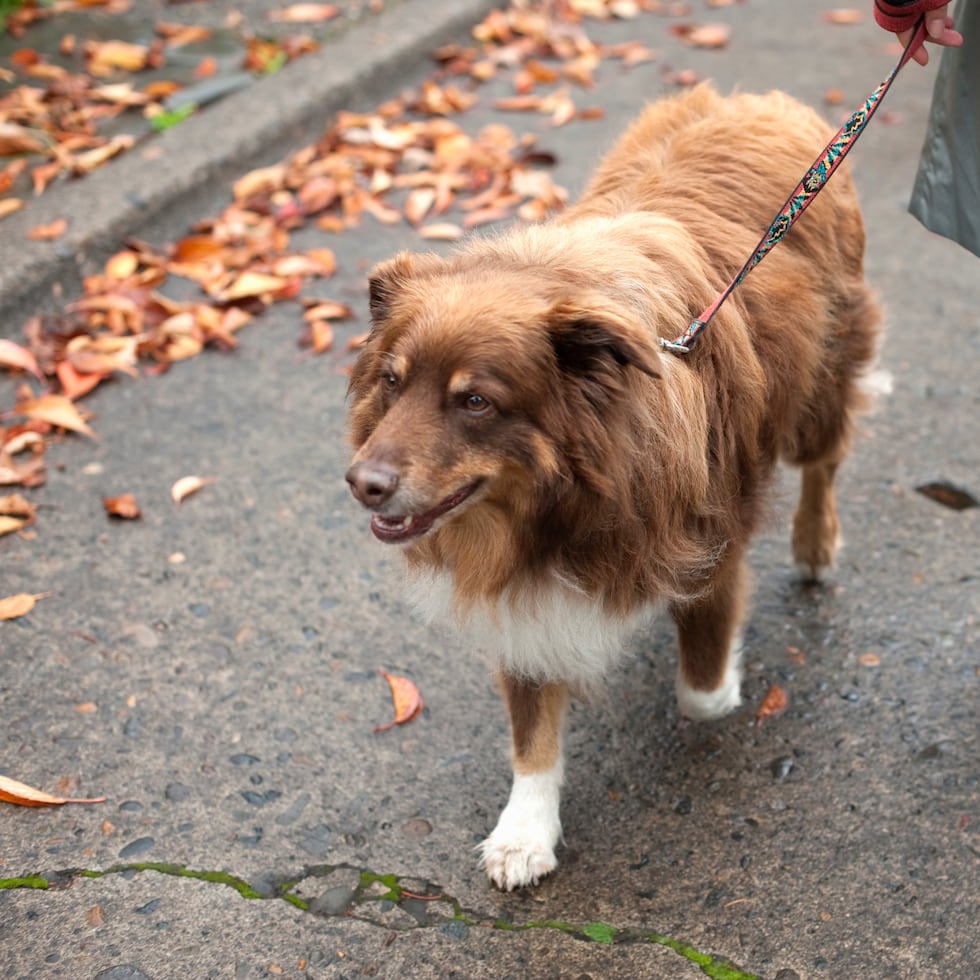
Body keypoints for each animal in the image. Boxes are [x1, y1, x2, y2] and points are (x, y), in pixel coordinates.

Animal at [348, 88, 884, 892]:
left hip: (822, 377)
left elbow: (701, 693)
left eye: (475, 401)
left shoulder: (710, 541)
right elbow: (531, 727)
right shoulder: (522, 590)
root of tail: (758, 101)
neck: (560, 501)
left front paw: (723, 679)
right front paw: (525, 831)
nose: (362, 485)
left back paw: (816, 546)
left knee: (824, 461)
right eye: (391, 380)